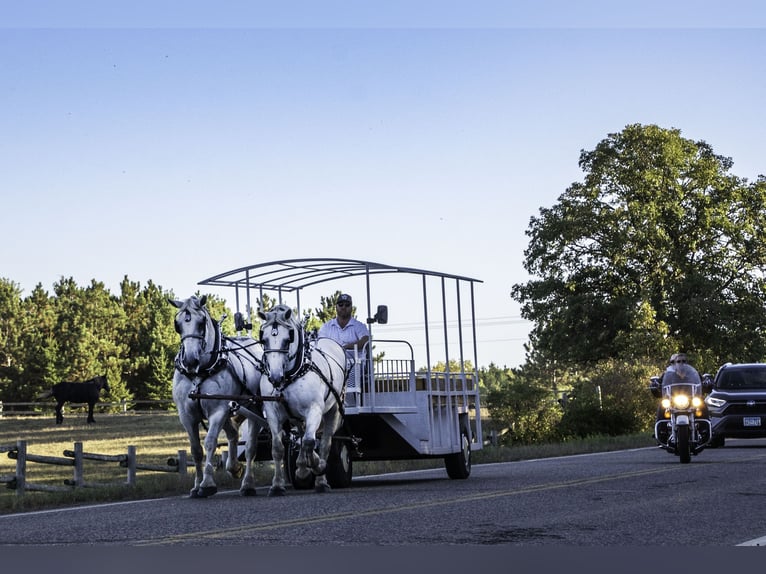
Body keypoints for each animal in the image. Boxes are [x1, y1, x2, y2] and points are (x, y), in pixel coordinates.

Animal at [170, 296, 266, 500]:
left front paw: (207, 484)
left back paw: (248, 484)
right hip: (231, 408)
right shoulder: (187, 416)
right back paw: (234, 468)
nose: (190, 360)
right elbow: (196, 450)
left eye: (201, 323)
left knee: (251, 448)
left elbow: (210, 442)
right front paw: (196, 486)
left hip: (253, 409)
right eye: (178, 324)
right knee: (233, 434)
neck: (199, 373)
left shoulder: (217, 411)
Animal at [260, 304, 348, 498]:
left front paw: (315, 467)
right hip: (297, 417)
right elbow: (278, 448)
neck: (291, 374)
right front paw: (277, 485)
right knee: (300, 436)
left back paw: (321, 481)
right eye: (264, 340)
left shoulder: (314, 409)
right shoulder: (272, 411)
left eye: (288, 339)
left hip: (333, 411)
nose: (275, 377)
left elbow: (310, 442)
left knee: (324, 443)